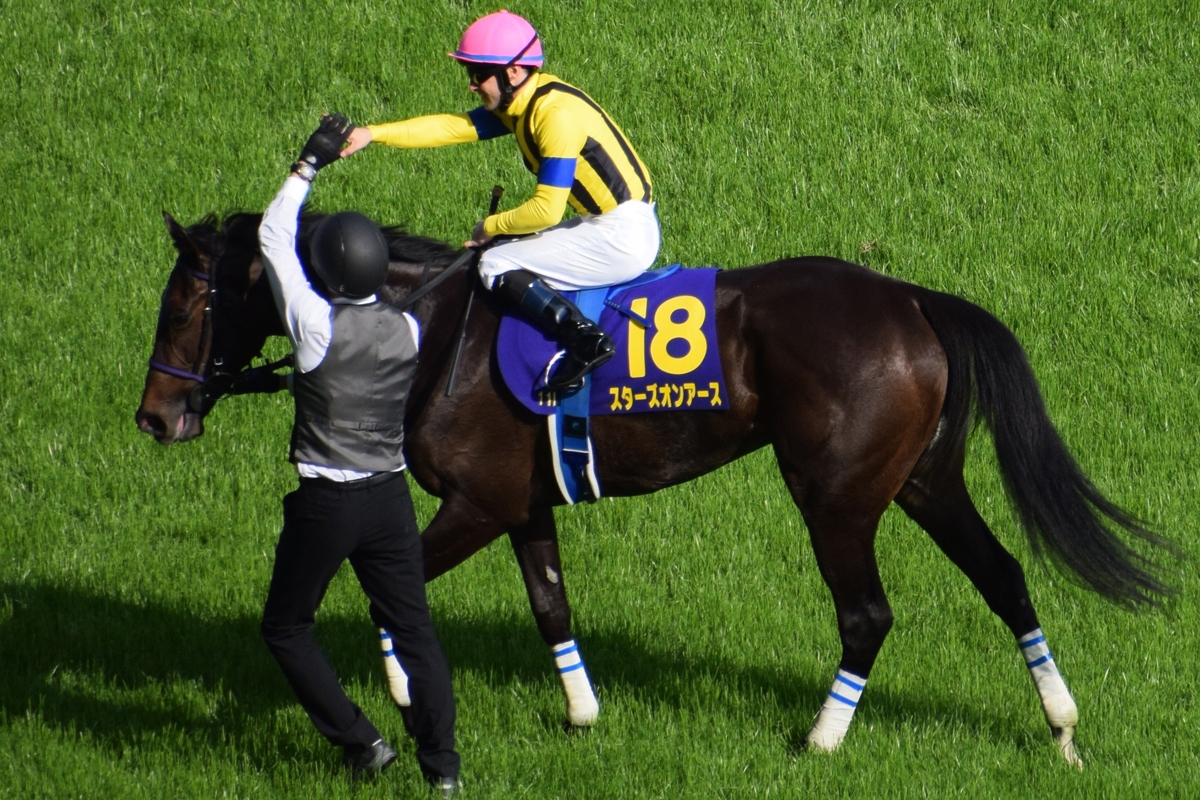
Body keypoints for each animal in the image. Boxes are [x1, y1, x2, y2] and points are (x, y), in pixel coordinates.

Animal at [136, 209, 1172, 766]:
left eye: (185, 305)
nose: (155, 416)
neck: (433, 327)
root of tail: (912, 298)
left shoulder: (475, 504)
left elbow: (388, 588)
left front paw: (397, 688)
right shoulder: (523, 505)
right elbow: (550, 604)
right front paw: (581, 715)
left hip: (835, 495)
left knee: (868, 614)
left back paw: (820, 741)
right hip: (923, 482)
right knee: (1004, 576)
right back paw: (1063, 728)